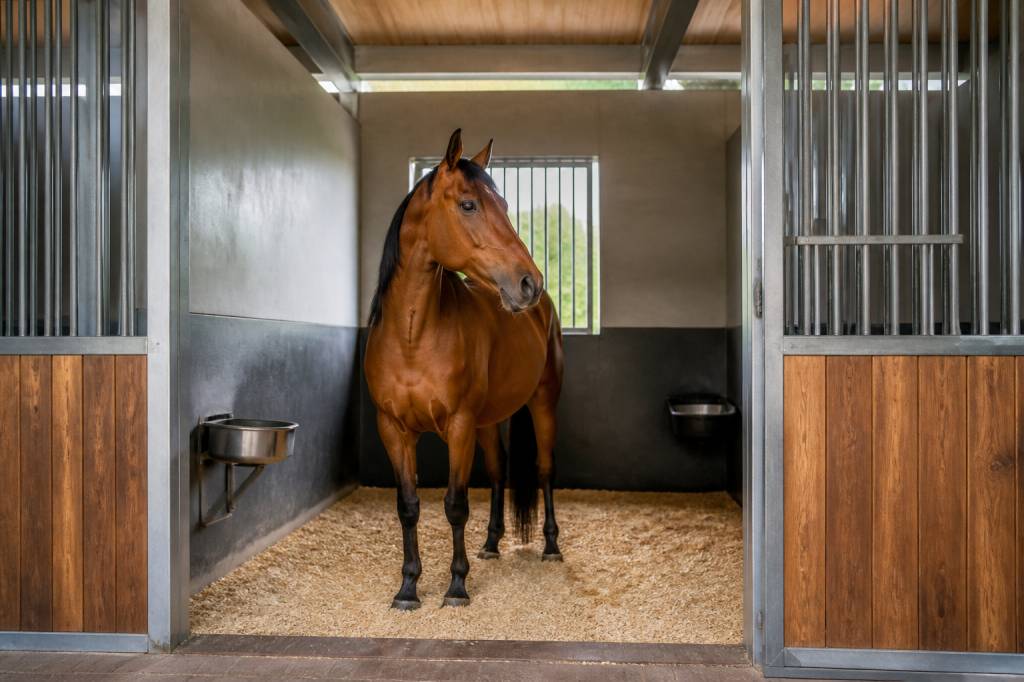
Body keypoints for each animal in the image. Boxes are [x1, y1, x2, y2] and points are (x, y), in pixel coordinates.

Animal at [364, 129, 565, 609]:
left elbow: (455, 505)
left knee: (545, 470)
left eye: (506, 206)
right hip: (488, 422)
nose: (530, 282)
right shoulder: (393, 429)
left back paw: (550, 546)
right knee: (498, 471)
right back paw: (491, 544)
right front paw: (408, 588)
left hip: (543, 403)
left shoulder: (458, 426)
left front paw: (456, 586)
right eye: (469, 205)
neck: (413, 335)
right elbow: (409, 506)